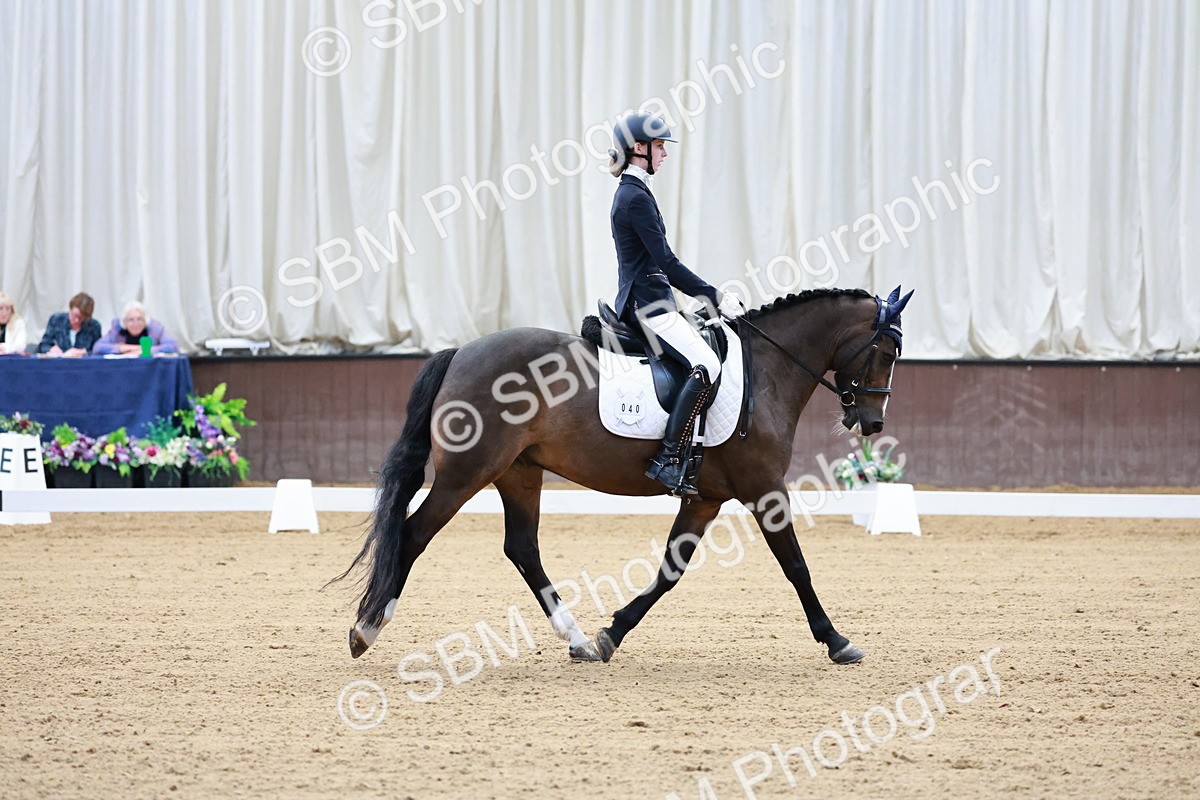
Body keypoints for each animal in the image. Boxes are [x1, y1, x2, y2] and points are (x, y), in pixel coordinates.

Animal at [332, 286, 913, 664]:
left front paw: (612, 633)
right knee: (413, 533)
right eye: (886, 351)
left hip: (519, 472)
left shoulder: (704, 498)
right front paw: (837, 641)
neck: (768, 370)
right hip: (466, 474)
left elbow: (670, 570)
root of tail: (459, 353)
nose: (872, 422)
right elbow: (796, 566)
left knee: (522, 547)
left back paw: (576, 640)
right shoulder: (764, 489)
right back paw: (365, 630)